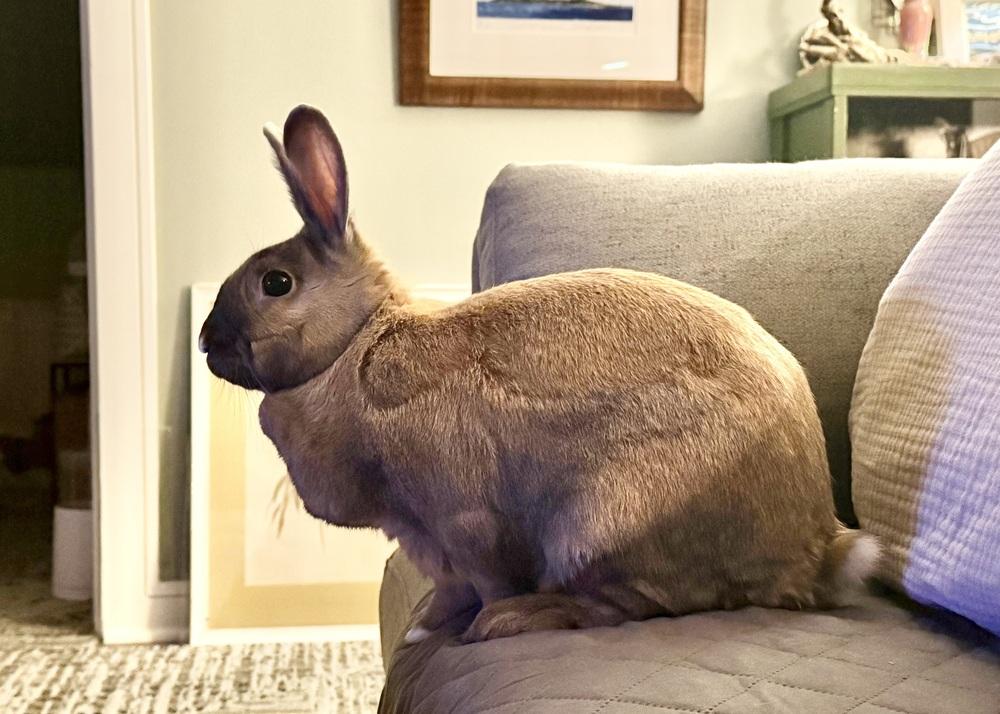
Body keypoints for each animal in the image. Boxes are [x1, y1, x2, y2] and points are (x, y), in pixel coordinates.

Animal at [199, 105, 880, 645]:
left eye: (275, 283)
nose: (207, 342)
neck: (357, 345)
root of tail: (816, 550)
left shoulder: (462, 522)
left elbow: (486, 579)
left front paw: (463, 627)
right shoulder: (422, 541)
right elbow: (448, 591)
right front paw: (425, 628)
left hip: (599, 523)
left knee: (631, 606)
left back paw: (515, 621)